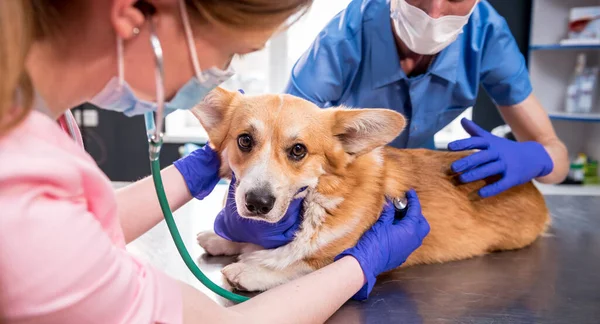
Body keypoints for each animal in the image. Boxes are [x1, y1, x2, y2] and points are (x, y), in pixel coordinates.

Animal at [192, 87, 548, 292]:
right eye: (244, 140)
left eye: (298, 150)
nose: (258, 203)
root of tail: (531, 187)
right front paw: (222, 239)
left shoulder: (340, 255)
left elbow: (299, 264)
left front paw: (250, 270)